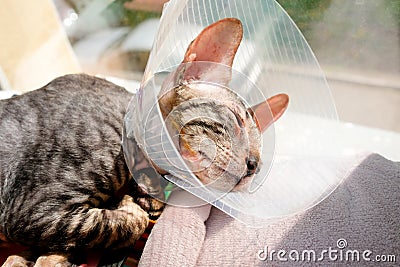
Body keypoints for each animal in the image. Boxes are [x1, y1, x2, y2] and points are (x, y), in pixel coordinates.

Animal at [0, 17, 288, 266]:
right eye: (237, 119)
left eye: (260, 155)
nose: (254, 166)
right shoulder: (35, 210)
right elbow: (125, 222)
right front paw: (132, 206)